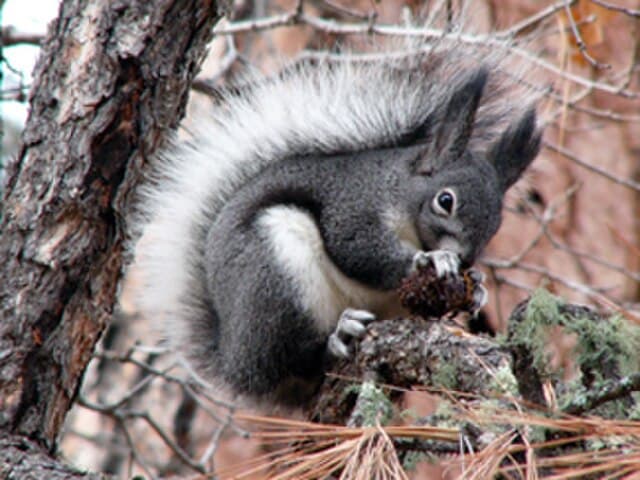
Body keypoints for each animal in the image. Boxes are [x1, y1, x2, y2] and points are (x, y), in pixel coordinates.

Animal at [137, 42, 542, 407]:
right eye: (446, 200)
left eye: (495, 225)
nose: (465, 259)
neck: (402, 194)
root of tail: (233, 360)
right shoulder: (352, 205)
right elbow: (356, 248)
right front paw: (431, 261)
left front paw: (477, 287)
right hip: (276, 275)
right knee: (291, 361)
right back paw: (337, 337)